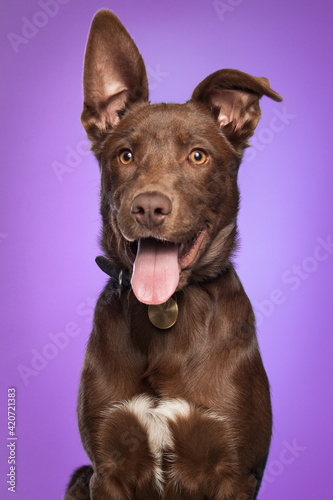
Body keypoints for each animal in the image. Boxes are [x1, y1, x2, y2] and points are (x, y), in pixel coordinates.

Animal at [64, 8, 280, 500]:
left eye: (198, 156)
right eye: (125, 155)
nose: (148, 207)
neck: (165, 311)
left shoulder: (235, 471)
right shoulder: (106, 469)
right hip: (78, 476)